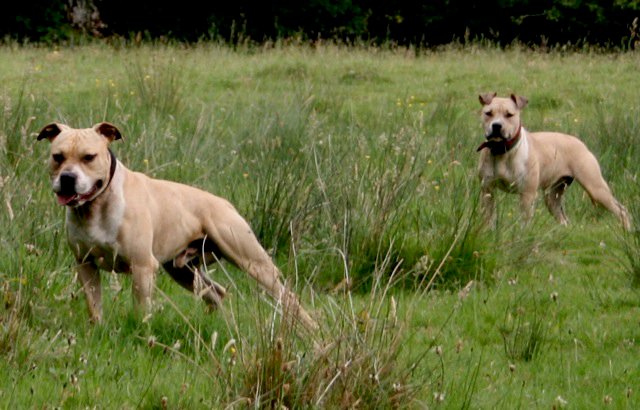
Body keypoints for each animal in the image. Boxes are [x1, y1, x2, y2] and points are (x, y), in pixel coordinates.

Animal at [37, 121, 318, 330]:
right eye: (57, 157)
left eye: (89, 157)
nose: (67, 178)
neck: (96, 205)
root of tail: (225, 204)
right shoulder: (85, 265)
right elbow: (94, 307)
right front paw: (97, 329)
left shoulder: (142, 267)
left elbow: (141, 309)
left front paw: (142, 332)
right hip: (183, 271)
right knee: (216, 293)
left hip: (253, 262)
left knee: (287, 298)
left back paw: (311, 332)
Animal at [476, 92, 632, 231]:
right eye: (488, 113)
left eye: (509, 115)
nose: (496, 126)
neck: (502, 151)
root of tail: (580, 143)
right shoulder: (487, 190)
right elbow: (488, 217)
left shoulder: (527, 194)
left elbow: (525, 221)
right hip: (553, 196)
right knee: (563, 218)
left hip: (595, 188)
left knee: (621, 210)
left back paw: (627, 230)